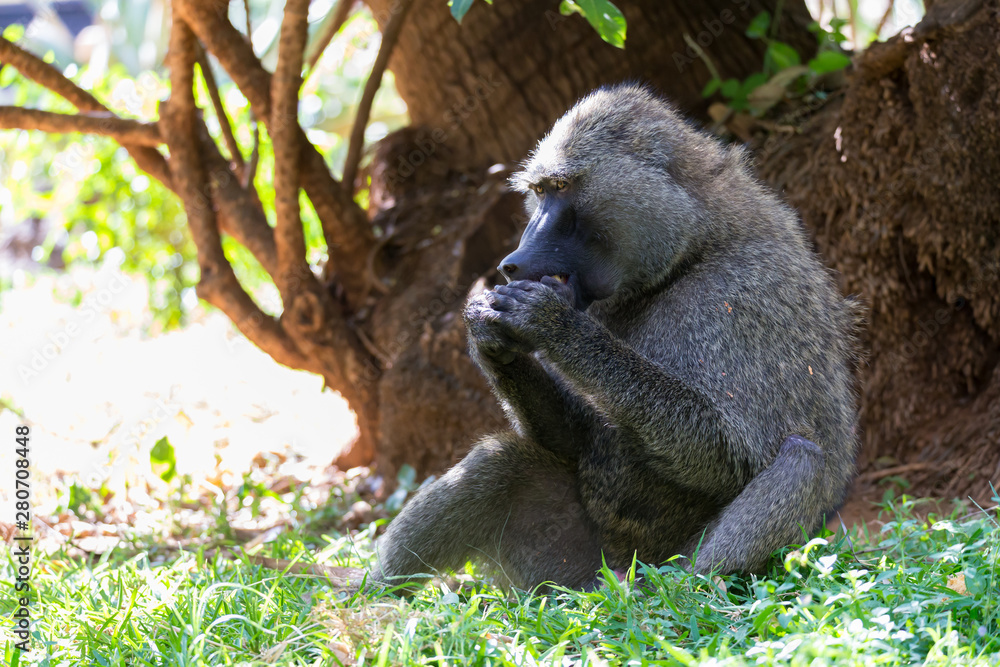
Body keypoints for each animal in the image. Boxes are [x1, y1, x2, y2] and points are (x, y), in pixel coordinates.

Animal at [369, 83, 860, 592]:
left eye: (562, 188)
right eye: (539, 192)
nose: (512, 263)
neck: (693, 249)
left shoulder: (744, 297)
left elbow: (734, 455)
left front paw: (552, 323)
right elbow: (575, 439)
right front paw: (488, 336)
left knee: (802, 460)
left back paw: (673, 592)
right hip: (563, 564)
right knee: (495, 463)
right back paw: (373, 593)